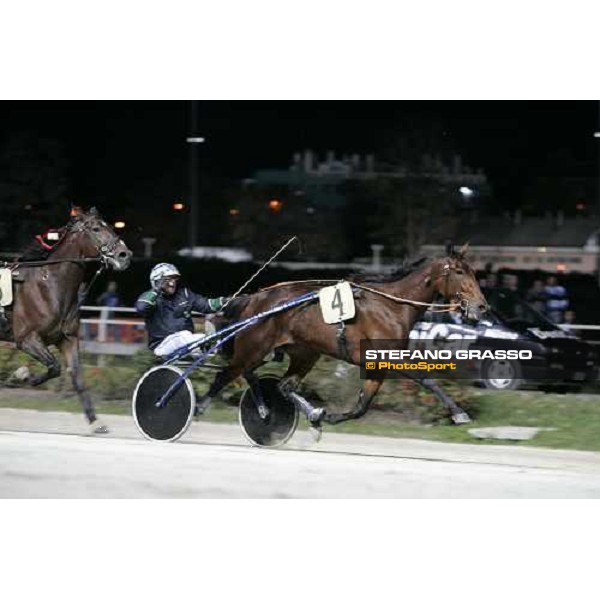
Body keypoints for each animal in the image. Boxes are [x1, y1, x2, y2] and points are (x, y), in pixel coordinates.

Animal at [0, 207, 132, 432]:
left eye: (111, 227)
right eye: (96, 229)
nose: (124, 255)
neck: (50, 286)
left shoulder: (67, 339)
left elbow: (76, 376)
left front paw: (95, 421)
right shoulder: (27, 339)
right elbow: (54, 367)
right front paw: (22, 375)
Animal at [202, 244, 488, 432]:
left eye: (473, 272)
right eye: (460, 272)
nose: (482, 306)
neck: (392, 305)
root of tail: (255, 298)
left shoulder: (376, 365)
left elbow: (362, 406)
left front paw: (328, 417)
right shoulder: (390, 357)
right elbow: (427, 379)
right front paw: (459, 413)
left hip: (302, 353)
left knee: (280, 385)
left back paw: (308, 412)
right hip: (253, 348)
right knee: (226, 375)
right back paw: (199, 410)